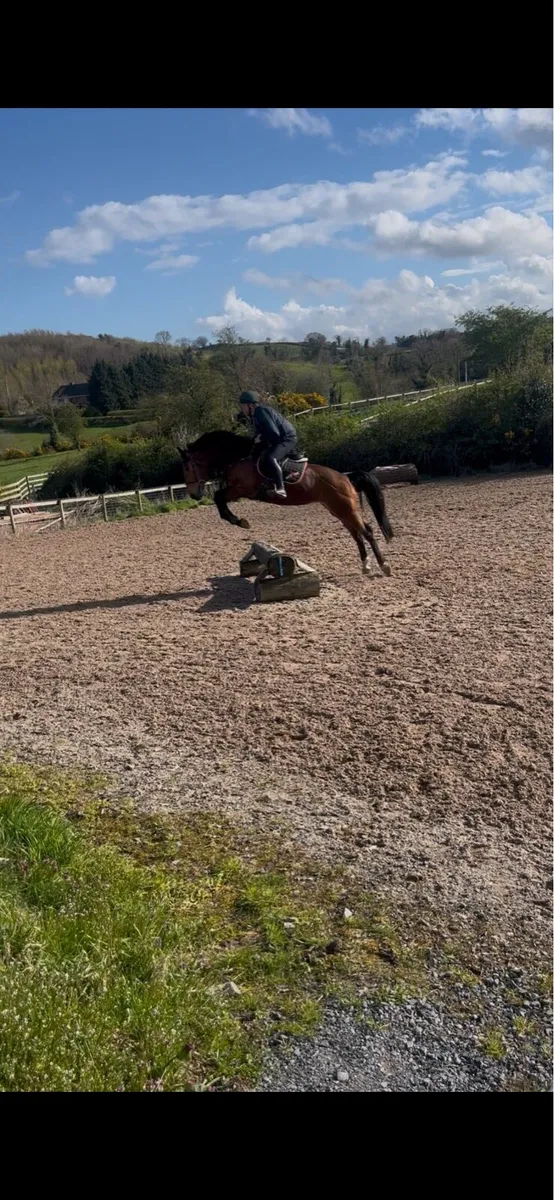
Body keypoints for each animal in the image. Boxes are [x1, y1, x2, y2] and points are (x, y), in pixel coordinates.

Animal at [178, 430, 394, 576]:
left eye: (187, 467)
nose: (193, 495)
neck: (238, 457)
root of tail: (346, 477)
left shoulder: (242, 489)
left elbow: (218, 497)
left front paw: (239, 521)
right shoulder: (237, 491)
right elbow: (219, 498)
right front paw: (237, 520)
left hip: (346, 509)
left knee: (367, 532)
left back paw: (384, 566)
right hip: (339, 511)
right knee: (357, 534)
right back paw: (366, 566)